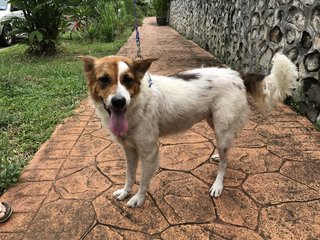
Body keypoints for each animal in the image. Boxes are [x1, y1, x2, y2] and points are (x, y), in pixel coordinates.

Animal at [79, 53, 298, 207]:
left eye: (128, 80)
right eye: (103, 79)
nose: (118, 101)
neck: (136, 103)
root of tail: (237, 75)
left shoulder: (149, 151)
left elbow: (143, 180)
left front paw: (138, 199)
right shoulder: (129, 150)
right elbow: (130, 175)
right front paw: (125, 192)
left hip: (221, 128)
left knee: (225, 162)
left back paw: (218, 185)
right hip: (214, 123)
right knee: (227, 149)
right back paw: (218, 156)